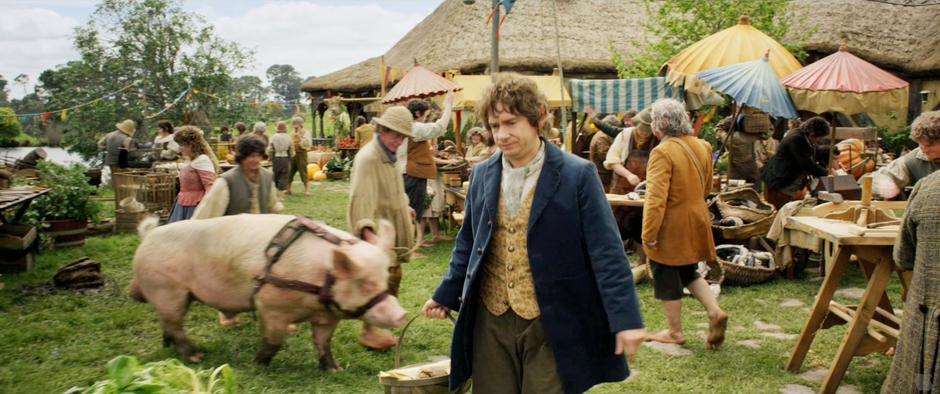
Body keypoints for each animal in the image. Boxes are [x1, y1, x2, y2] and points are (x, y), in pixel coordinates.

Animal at [129, 212, 408, 370]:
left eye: (385, 279)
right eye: (366, 283)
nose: (402, 314)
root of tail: (149, 235)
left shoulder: (327, 317)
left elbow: (322, 342)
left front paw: (334, 370)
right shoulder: (272, 306)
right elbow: (275, 340)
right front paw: (257, 365)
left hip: (179, 294)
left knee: (169, 322)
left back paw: (169, 346)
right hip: (166, 289)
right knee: (175, 323)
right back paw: (196, 357)